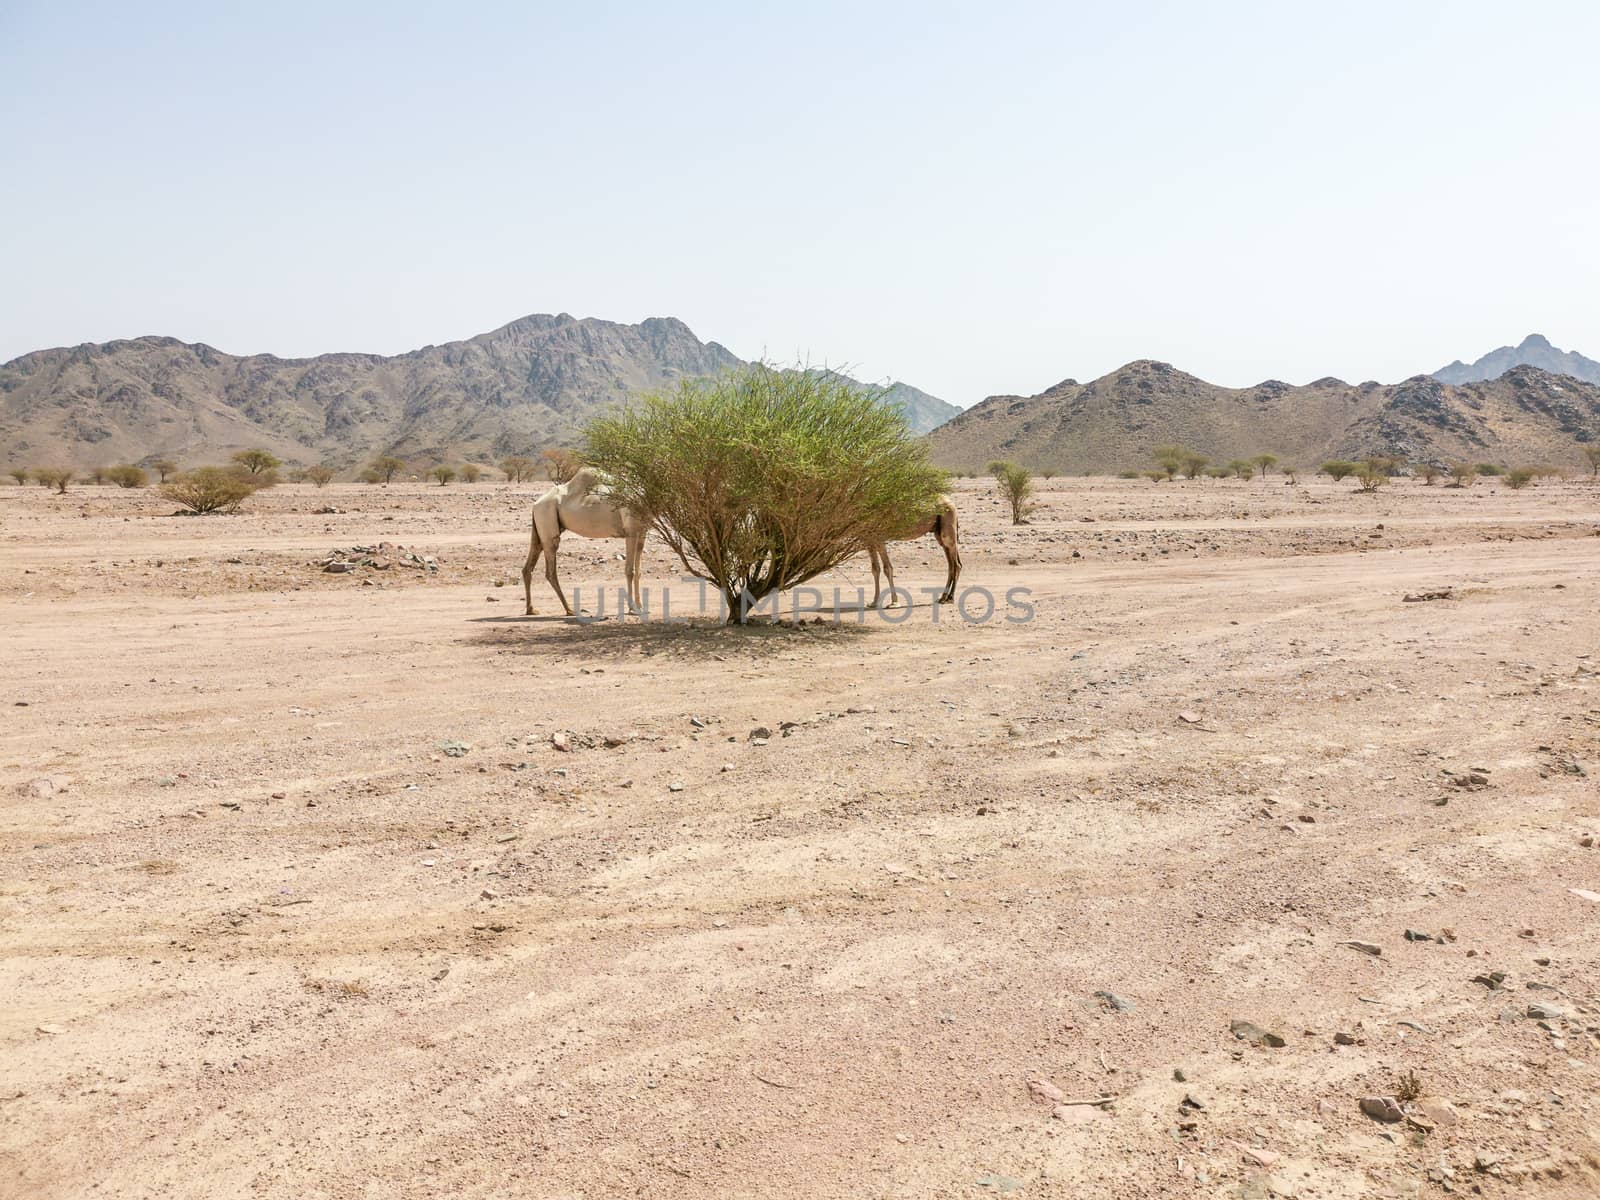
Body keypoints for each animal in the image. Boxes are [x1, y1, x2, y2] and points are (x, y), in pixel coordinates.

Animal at [528, 470, 646, 620]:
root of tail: (535, 504)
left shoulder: (642, 531)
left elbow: (639, 571)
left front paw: (641, 606)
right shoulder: (631, 530)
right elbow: (630, 571)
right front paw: (632, 608)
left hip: (541, 530)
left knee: (529, 565)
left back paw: (531, 609)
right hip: (548, 523)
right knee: (550, 571)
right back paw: (569, 610)